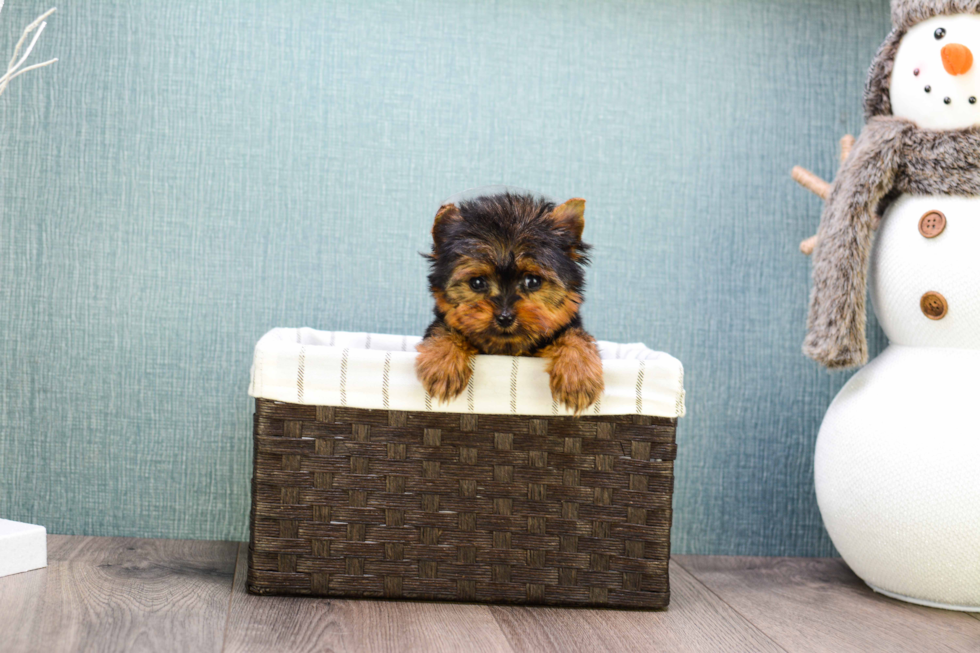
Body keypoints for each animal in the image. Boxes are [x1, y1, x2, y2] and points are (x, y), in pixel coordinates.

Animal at [416, 191, 600, 412]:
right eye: (477, 283)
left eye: (532, 281)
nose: (505, 317)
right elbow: (443, 330)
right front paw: (443, 364)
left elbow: (576, 336)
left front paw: (578, 376)